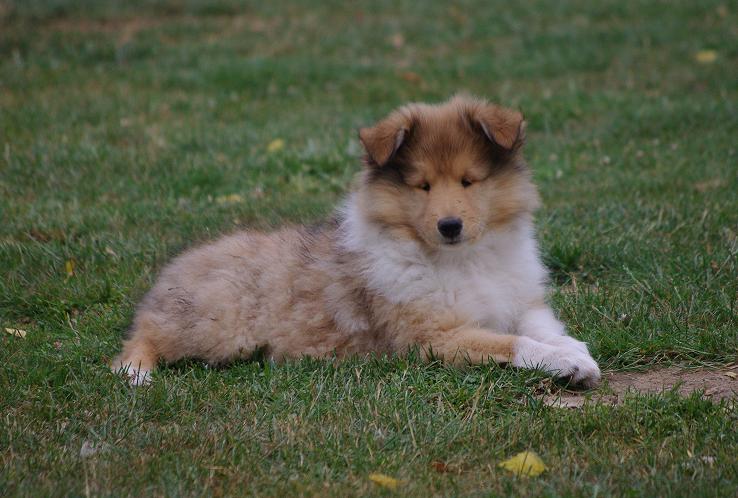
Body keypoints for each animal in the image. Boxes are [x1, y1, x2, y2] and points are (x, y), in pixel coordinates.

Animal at [113, 95, 600, 388]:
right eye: (422, 185)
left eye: (469, 180)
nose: (450, 225)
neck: (465, 259)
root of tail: (172, 270)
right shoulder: (431, 336)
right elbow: (514, 343)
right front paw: (568, 364)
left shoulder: (518, 299)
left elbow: (541, 326)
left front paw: (575, 350)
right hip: (220, 326)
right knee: (144, 336)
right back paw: (137, 373)